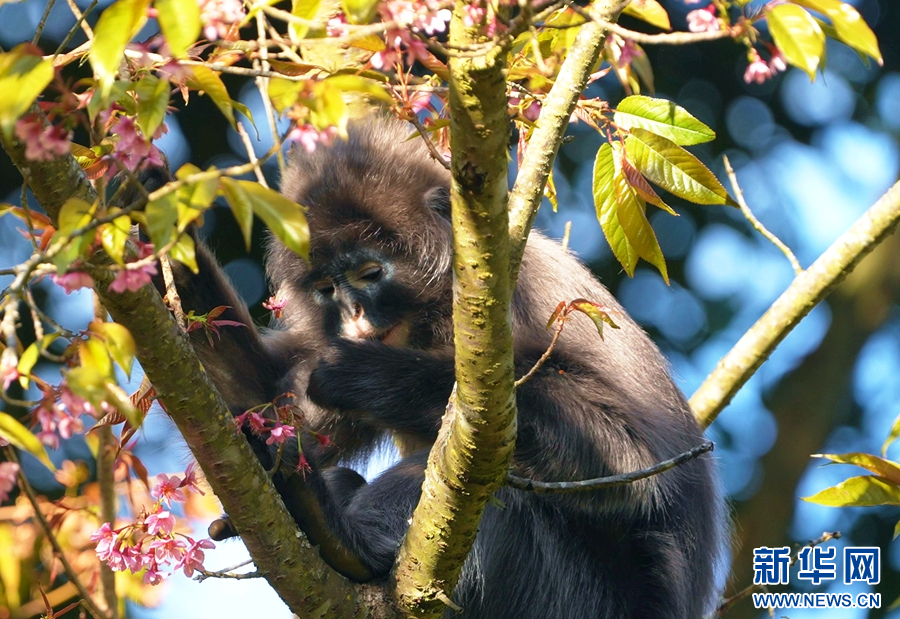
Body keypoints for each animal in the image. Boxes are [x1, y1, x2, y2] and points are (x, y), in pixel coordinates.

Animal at [149, 117, 724, 619]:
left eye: (370, 273)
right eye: (327, 289)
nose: (353, 315)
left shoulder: (520, 292)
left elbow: (635, 466)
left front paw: (367, 375)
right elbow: (266, 410)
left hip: (571, 596)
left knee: (497, 485)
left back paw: (340, 536)